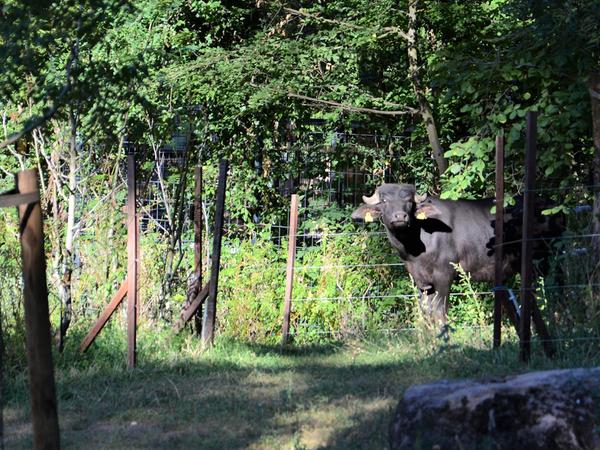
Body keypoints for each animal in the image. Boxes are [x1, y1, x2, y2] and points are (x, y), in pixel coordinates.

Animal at [352, 183, 564, 324]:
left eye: (409, 201)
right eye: (384, 201)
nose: (400, 217)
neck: (415, 245)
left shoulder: (445, 275)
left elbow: (439, 310)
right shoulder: (422, 281)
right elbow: (426, 310)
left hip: (546, 261)